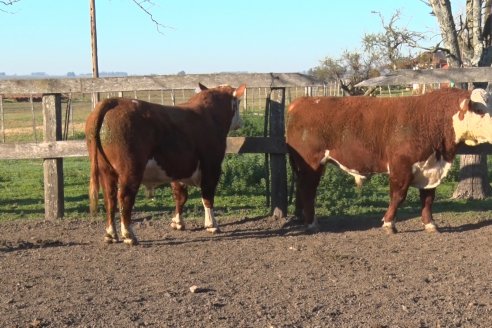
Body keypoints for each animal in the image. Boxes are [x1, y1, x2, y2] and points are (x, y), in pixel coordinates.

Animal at [85, 83, 246, 245]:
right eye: (238, 102)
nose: (240, 122)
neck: (209, 116)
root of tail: (115, 101)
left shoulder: (178, 169)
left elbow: (180, 196)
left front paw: (177, 222)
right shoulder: (211, 167)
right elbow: (207, 197)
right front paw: (212, 225)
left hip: (106, 171)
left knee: (109, 199)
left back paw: (110, 234)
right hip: (130, 170)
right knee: (124, 198)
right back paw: (129, 235)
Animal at [286, 88, 492, 233]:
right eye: (480, 110)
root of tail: (301, 102)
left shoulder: (430, 168)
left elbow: (428, 198)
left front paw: (430, 224)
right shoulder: (401, 166)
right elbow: (398, 196)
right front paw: (388, 223)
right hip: (311, 163)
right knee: (307, 190)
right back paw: (312, 224)